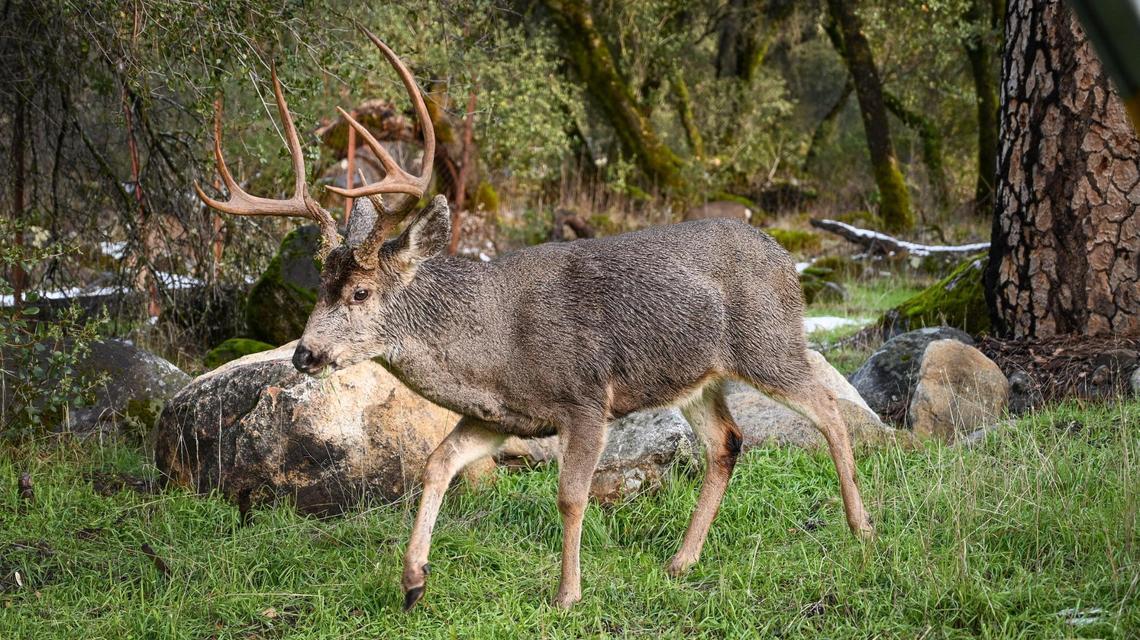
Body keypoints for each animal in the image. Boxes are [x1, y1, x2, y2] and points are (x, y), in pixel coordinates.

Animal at [195, 27, 874, 611]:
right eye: (320, 288)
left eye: (360, 292)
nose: (303, 354)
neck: (493, 346)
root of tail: (786, 259)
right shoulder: (498, 416)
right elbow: (437, 464)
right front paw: (413, 582)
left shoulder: (586, 398)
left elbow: (571, 496)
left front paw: (567, 594)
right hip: (697, 377)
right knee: (728, 441)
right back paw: (682, 562)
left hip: (768, 342)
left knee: (828, 407)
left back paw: (861, 528)